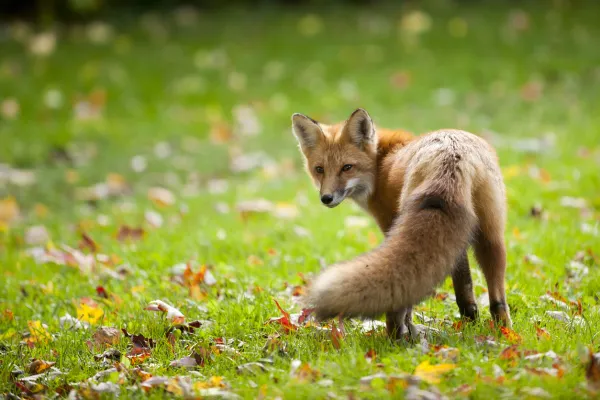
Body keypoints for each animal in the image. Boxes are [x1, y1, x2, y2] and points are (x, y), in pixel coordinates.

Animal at [290, 107, 510, 338]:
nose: (327, 198)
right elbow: (464, 285)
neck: (380, 165)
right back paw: (504, 333)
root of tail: (452, 152)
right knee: (498, 299)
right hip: (491, 235)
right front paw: (470, 320)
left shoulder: (389, 224)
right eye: (319, 169)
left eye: (347, 167)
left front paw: (408, 329)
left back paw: (394, 335)